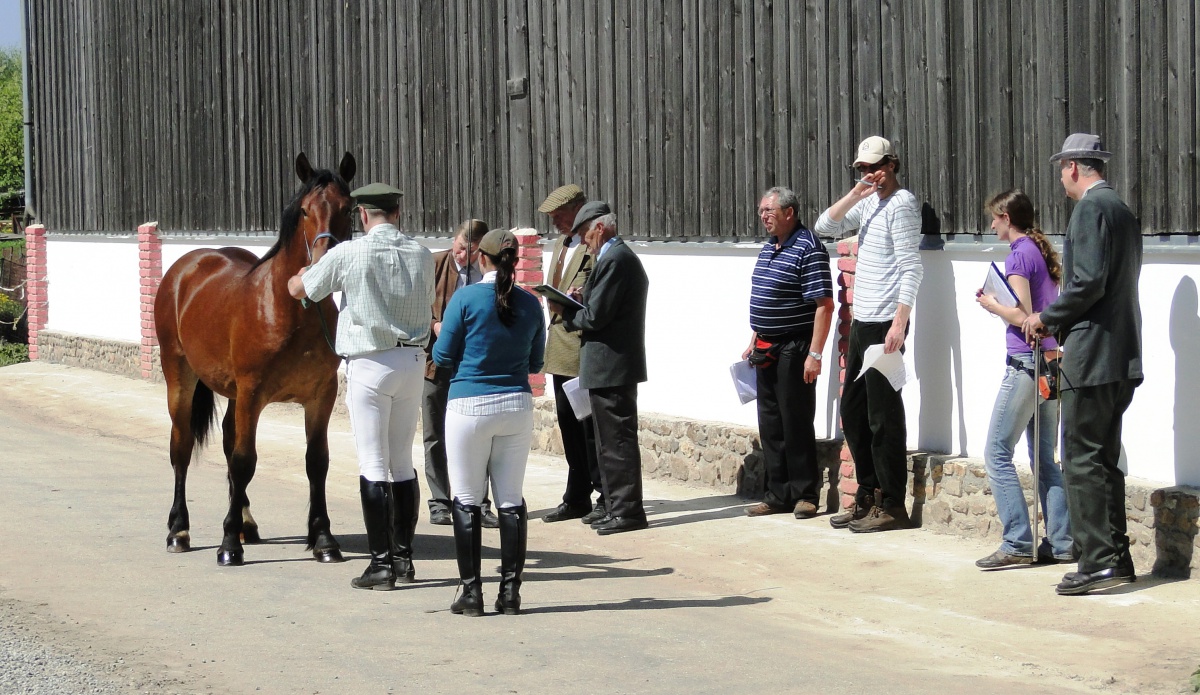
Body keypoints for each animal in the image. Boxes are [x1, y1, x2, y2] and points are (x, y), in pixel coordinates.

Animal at [154, 152, 356, 566]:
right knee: (181, 447)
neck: (289, 308)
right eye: (306, 211)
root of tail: (186, 267)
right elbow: (245, 460)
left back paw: (246, 522)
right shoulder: (252, 392)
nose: (323, 263)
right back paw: (179, 530)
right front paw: (228, 545)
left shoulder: (321, 395)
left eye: (347, 208)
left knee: (229, 441)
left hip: (233, 394)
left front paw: (324, 539)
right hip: (180, 377)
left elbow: (317, 462)